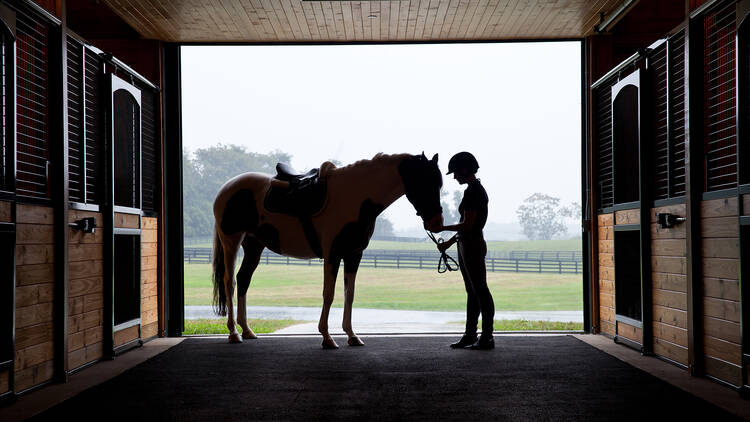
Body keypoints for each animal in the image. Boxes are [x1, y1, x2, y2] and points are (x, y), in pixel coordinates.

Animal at [212, 153, 446, 348]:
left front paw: (352, 335)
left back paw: (247, 330)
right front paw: (327, 337)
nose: (437, 223)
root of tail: (227, 188)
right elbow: (329, 293)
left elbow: (349, 294)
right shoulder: (332, 254)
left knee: (243, 280)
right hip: (231, 241)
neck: (354, 197)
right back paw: (234, 333)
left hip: (254, 246)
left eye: (438, 183)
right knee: (230, 282)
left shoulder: (354, 255)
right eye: (423, 181)